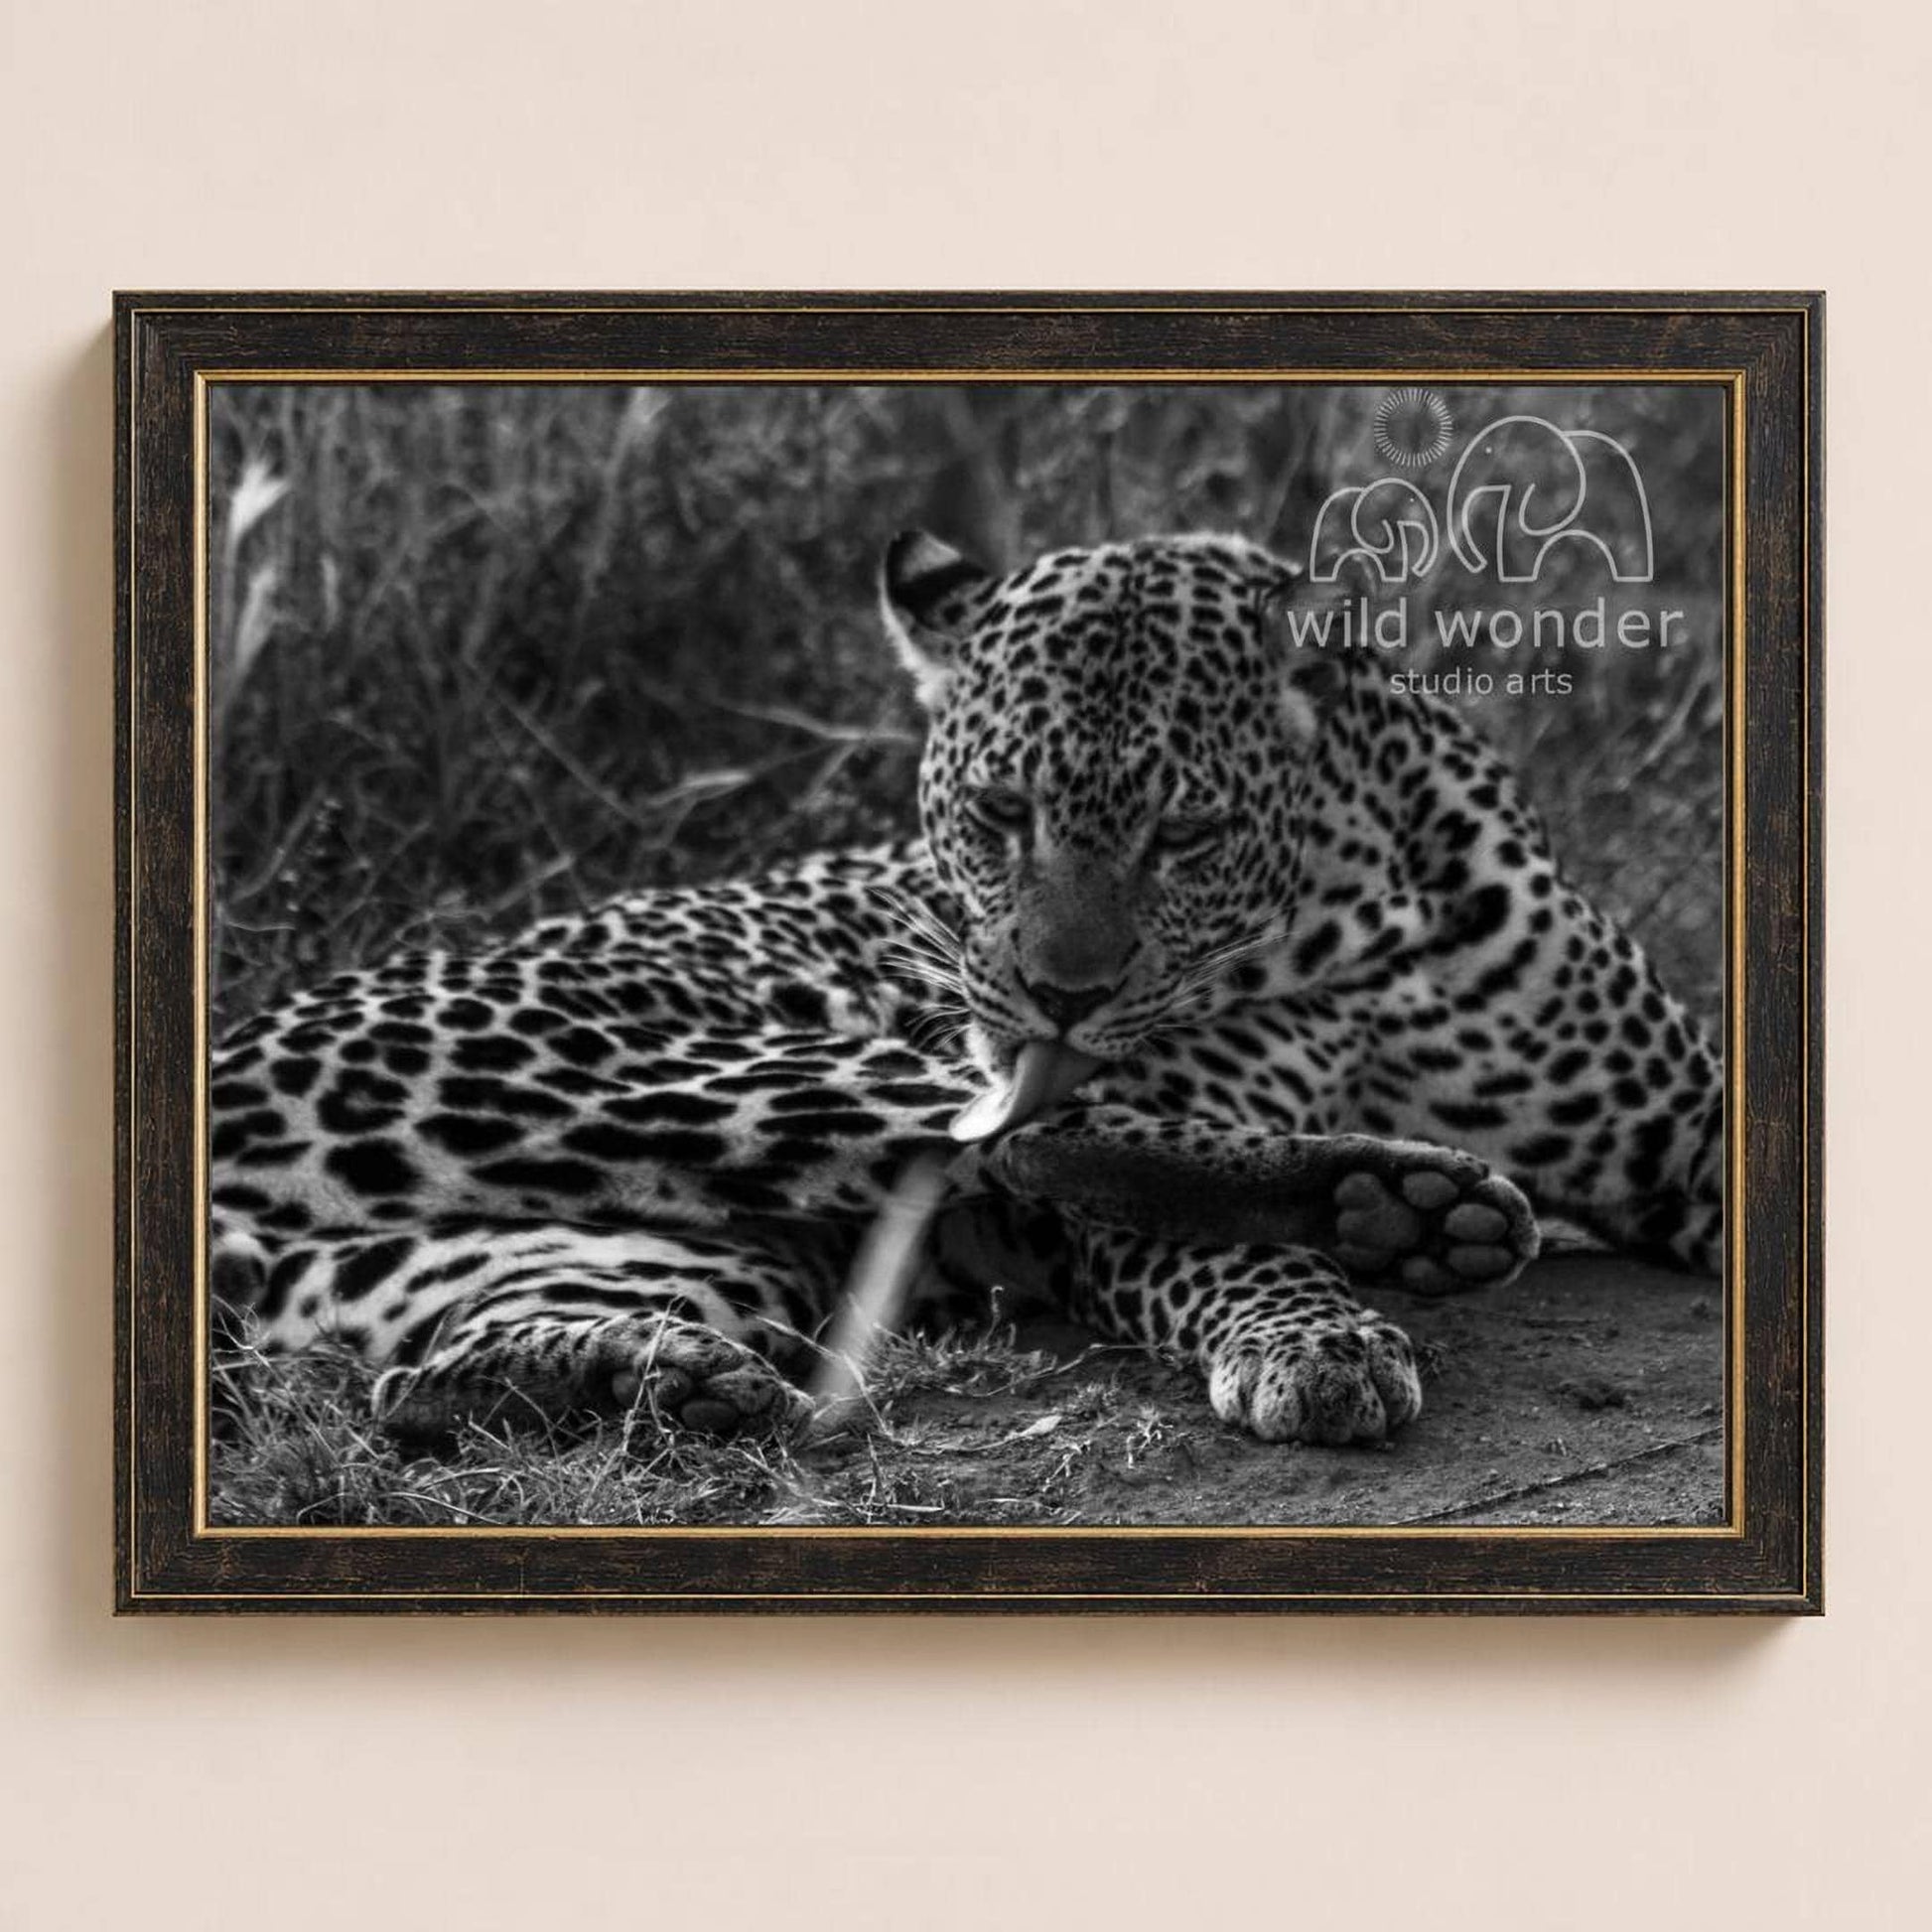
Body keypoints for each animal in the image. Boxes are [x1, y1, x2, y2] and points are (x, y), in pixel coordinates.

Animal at [210, 528, 1723, 1455]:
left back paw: (662, 1381)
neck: (1339, 939)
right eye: (999, 813)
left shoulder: (1690, 1115)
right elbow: (1210, 1245)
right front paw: (1322, 1337)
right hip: (654, 1065)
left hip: (624, 1250)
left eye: (1184, 831)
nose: (1055, 994)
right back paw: (1403, 1202)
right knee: (1031, 1143)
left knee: (422, 1379)